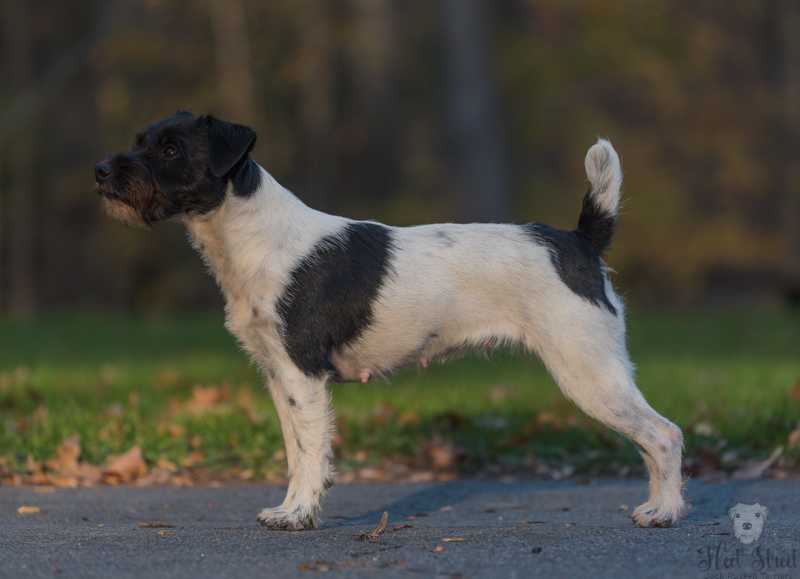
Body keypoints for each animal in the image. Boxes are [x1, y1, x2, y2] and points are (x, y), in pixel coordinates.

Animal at [95, 112, 688, 532]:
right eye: (141, 139)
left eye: (171, 149)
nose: (101, 171)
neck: (254, 235)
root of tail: (580, 240)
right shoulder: (278, 376)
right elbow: (295, 453)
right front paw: (290, 508)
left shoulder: (302, 375)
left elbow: (311, 453)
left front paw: (300, 515)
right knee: (650, 440)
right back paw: (657, 506)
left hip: (588, 372)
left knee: (664, 434)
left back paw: (665, 512)